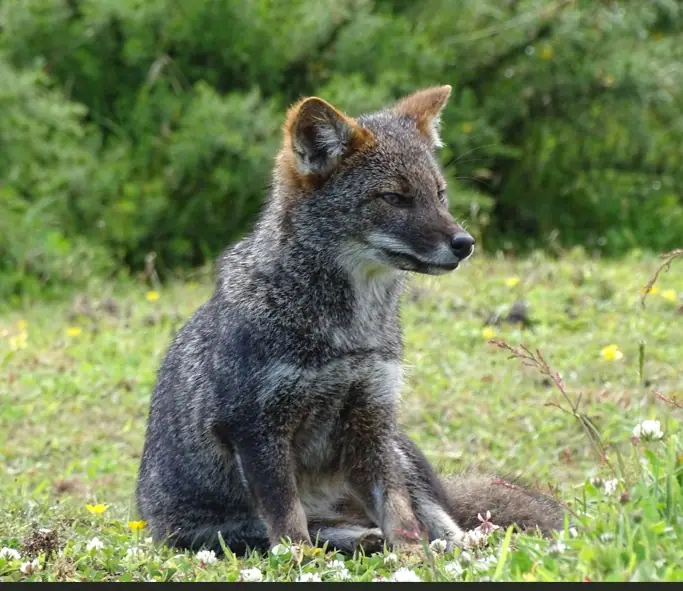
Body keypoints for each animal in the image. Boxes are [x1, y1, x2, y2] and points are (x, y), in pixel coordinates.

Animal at [136, 85, 564, 556]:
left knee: (441, 521)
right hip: (225, 534)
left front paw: (413, 557)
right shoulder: (257, 428)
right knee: (316, 531)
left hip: (398, 449)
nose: (464, 243)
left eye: (439, 194)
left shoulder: (371, 417)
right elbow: (288, 521)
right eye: (394, 198)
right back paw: (360, 540)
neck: (349, 335)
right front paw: (298, 561)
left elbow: (401, 514)